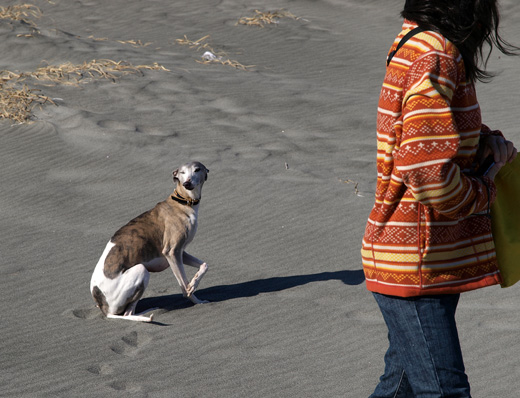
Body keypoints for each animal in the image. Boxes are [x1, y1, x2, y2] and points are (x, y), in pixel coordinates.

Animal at [90, 161, 209, 320]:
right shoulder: (171, 252)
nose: (187, 183)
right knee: (127, 313)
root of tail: (105, 309)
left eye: (197, 169)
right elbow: (184, 287)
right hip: (141, 271)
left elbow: (204, 265)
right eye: (182, 172)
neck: (183, 203)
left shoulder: (180, 252)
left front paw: (196, 287)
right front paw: (194, 296)